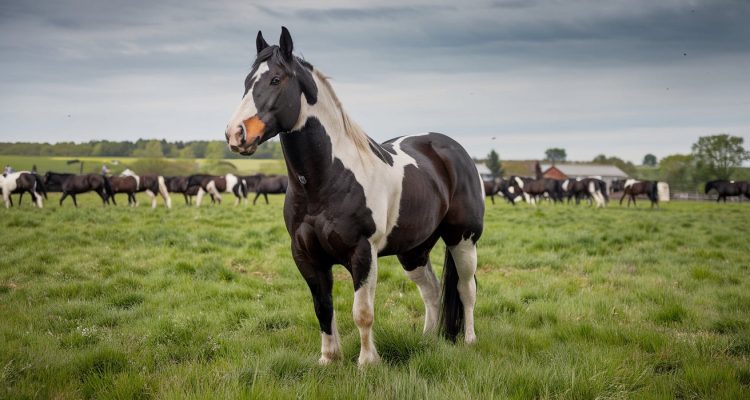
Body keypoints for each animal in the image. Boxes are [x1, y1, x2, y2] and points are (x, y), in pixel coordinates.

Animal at [223, 27, 484, 366]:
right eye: (246, 82)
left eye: (276, 80)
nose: (236, 134)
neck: (326, 182)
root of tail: (452, 150)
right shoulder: (306, 256)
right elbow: (323, 308)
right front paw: (329, 359)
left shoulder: (363, 253)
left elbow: (362, 312)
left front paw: (367, 362)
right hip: (413, 250)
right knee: (432, 290)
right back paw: (427, 341)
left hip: (462, 240)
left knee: (466, 289)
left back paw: (469, 340)